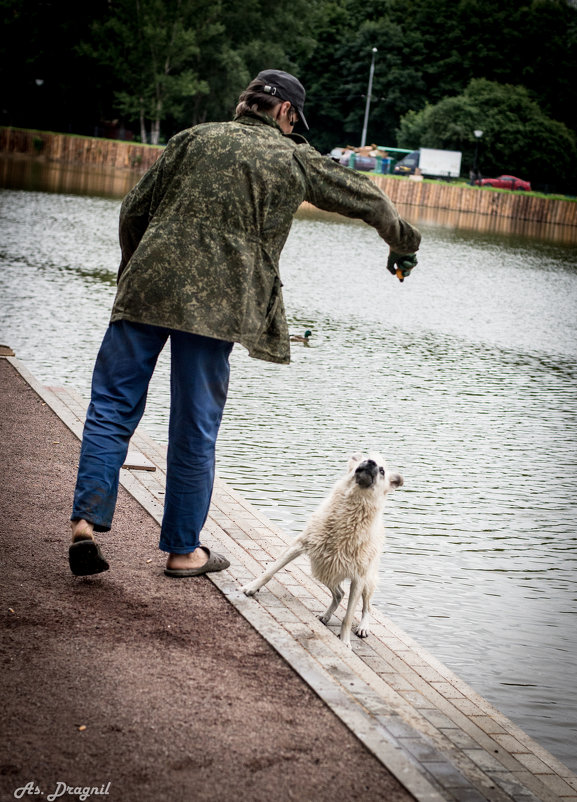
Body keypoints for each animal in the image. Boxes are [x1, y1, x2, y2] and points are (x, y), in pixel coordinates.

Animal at [241, 454, 402, 648]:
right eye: (365, 458)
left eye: (382, 470)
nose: (371, 463)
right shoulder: (299, 544)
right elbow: (269, 571)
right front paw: (251, 587)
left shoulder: (358, 578)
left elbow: (348, 616)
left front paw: (345, 642)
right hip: (323, 568)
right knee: (339, 594)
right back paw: (326, 615)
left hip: (365, 580)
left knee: (366, 606)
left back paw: (363, 626)